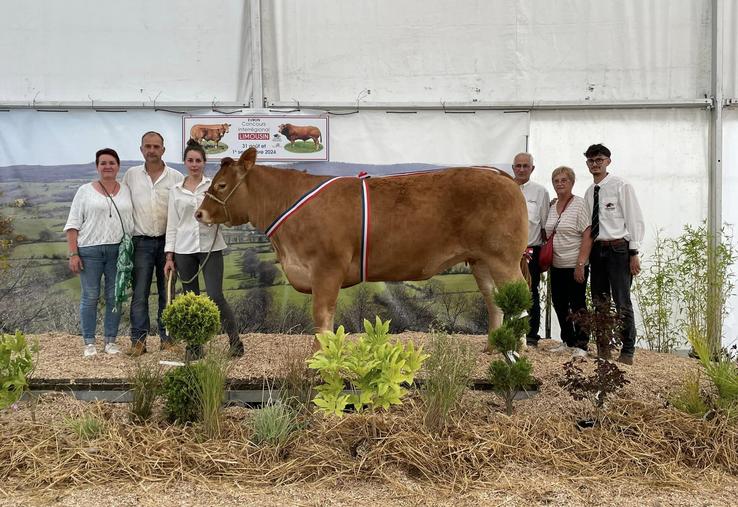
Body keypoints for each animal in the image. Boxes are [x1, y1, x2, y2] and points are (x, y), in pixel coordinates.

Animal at [196, 149, 528, 352]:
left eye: (221, 185)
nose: (199, 213)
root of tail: (501, 176)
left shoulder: (327, 267)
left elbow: (321, 315)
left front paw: (318, 357)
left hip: (503, 258)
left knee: (519, 296)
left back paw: (519, 348)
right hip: (480, 260)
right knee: (494, 301)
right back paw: (492, 346)